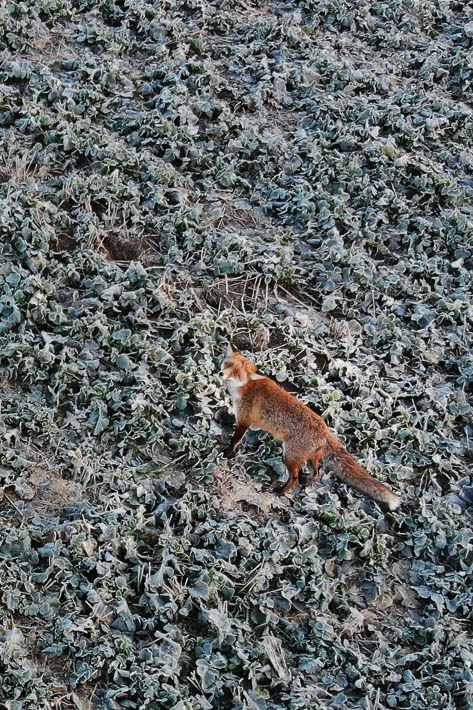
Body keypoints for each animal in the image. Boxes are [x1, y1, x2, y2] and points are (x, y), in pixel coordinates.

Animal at [220, 344, 398, 512]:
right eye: (227, 365)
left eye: (236, 374)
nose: (221, 374)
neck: (246, 387)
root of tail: (325, 431)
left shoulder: (244, 421)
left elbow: (234, 441)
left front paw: (227, 454)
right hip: (311, 457)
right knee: (316, 472)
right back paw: (306, 483)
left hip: (289, 456)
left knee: (294, 478)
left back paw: (280, 491)